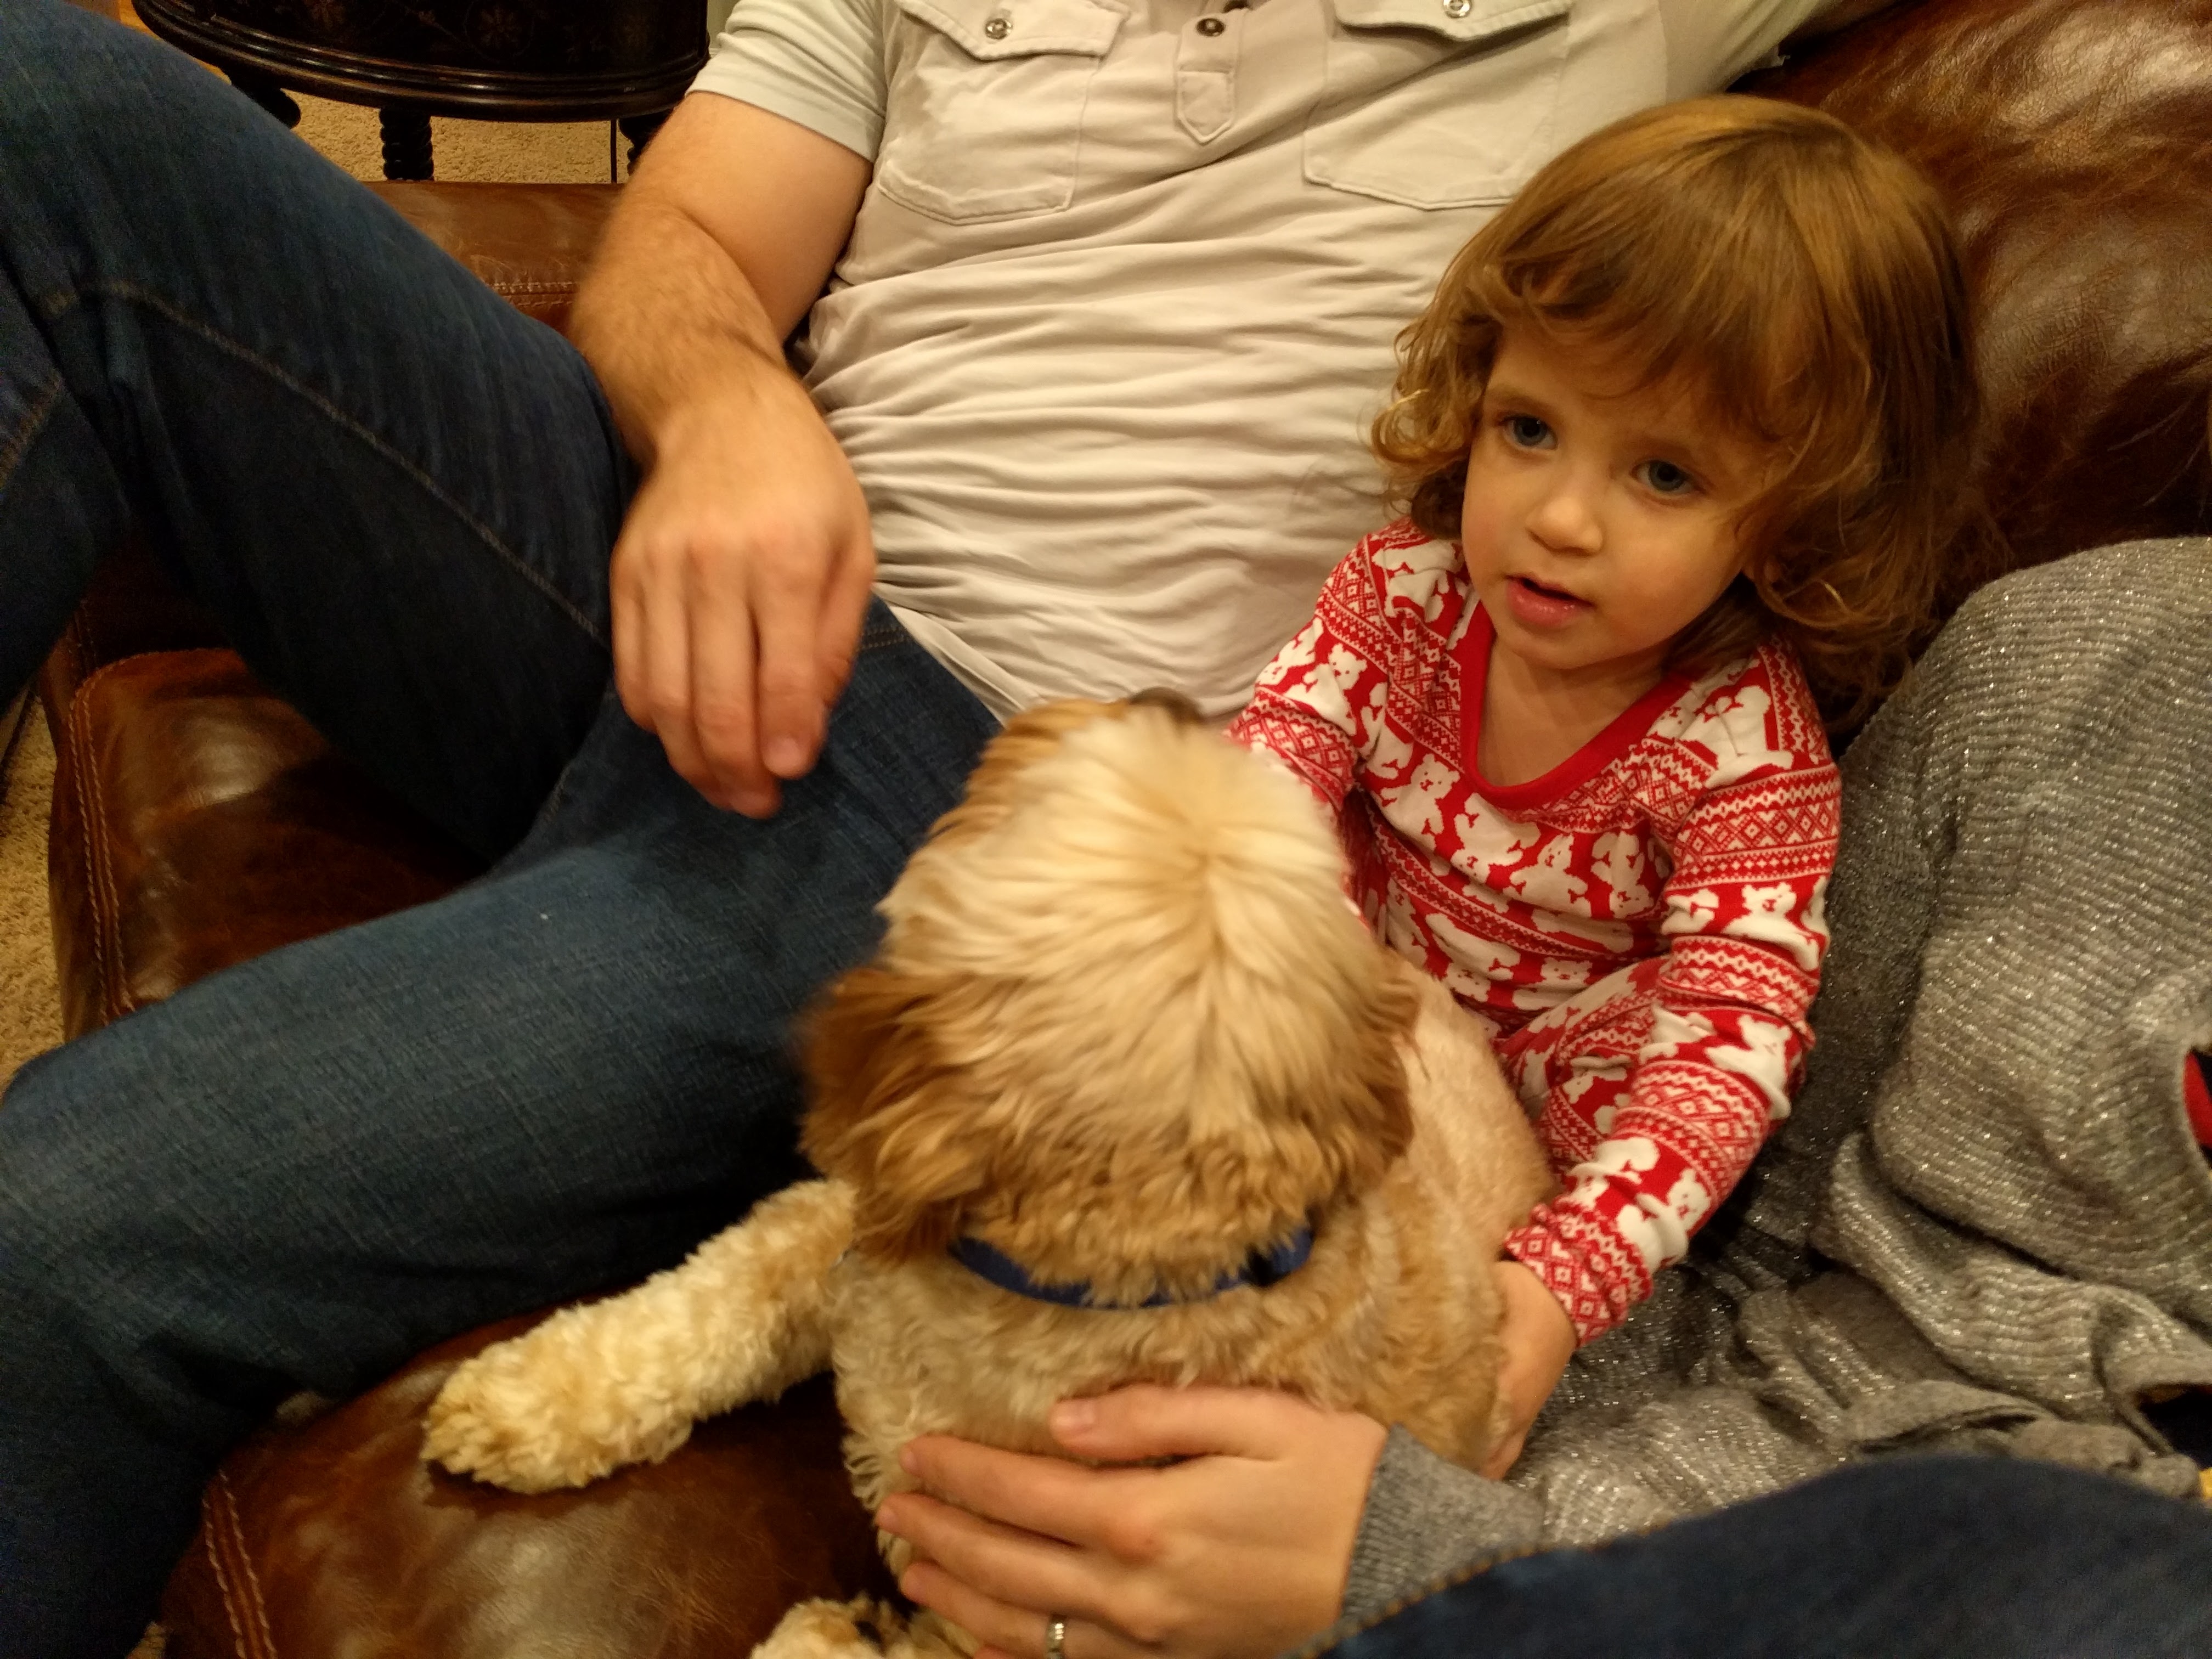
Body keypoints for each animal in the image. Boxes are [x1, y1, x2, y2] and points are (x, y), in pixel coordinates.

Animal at [423, 696, 1554, 1658]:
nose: (1171, 699)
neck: (1102, 1279)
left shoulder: (995, 1590)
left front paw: (827, 1630)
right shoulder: (846, 1253)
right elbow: (700, 1311)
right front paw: (531, 1400)